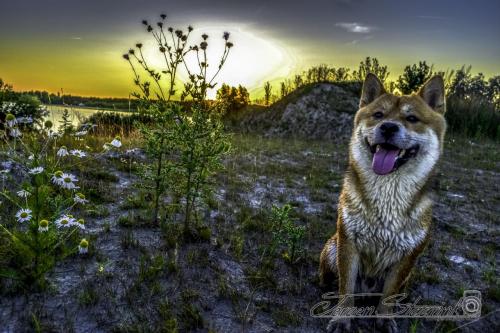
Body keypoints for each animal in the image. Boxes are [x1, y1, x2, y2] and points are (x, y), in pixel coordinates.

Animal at [318, 73, 448, 332]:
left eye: (412, 118)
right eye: (378, 115)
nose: (388, 127)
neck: (387, 199)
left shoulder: (407, 257)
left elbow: (389, 294)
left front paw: (385, 319)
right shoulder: (348, 243)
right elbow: (345, 288)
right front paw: (342, 319)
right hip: (332, 249)